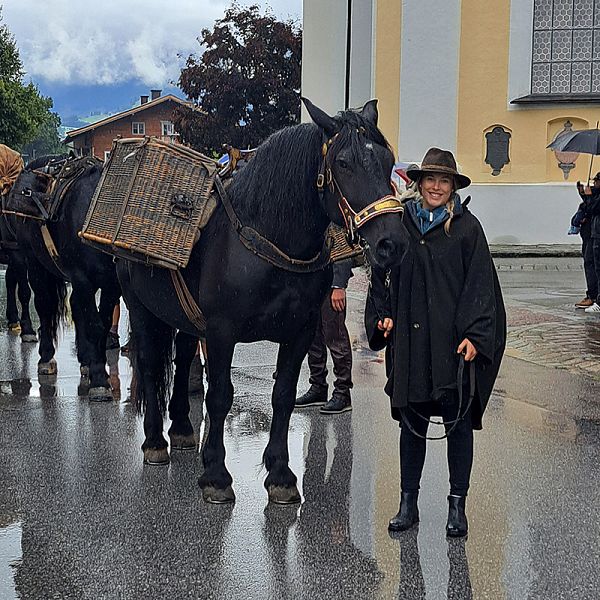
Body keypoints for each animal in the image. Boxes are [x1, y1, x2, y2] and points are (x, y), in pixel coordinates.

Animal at [5, 155, 120, 398]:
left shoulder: (111, 284)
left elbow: (103, 323)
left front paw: (96, 366)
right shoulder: (81, 277)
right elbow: (94, 324)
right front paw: (99, 379)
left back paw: (85, 358)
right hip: (33, 263)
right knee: (43, 305)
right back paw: (46, 356)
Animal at [117, 98, 408, 502]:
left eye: (386, 159)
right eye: (343, 162)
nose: (391, 243)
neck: (268, 240)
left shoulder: (300, 332)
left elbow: (283, 395)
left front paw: (281, 474)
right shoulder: (221, 332)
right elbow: (220, 396)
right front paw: (216, 474)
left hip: (185, 318)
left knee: (183, 359)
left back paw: (182, 429)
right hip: (141, 308)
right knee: (148, 365)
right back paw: (155, 442)